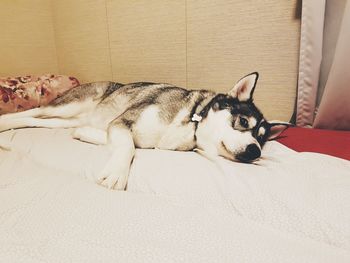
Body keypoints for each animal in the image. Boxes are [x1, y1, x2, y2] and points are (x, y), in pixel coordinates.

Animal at [0, 72, 290, 190]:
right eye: (243, 122)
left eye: (262, 141)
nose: (255, 151)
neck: (191, 123)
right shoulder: (123, 122)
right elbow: (128, 147)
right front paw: (116, 173)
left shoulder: (117, 127)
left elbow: (121, 140)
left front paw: (87, 135)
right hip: (69, 105)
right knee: (30, 112)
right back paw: (4, 123)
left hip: (61, 120)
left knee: (35, 121)